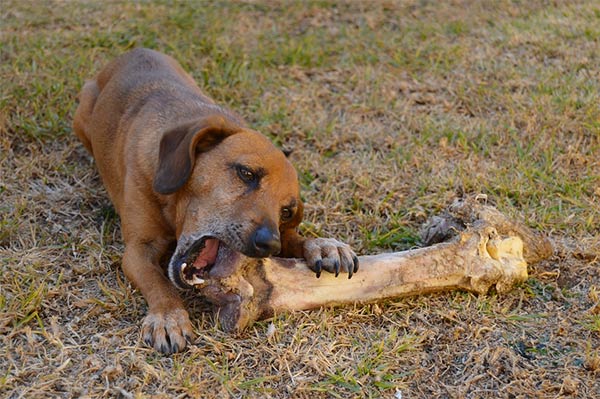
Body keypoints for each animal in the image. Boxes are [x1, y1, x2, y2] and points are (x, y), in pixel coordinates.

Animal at [73, 48, 358, 354]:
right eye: (247, 173)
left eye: (286, 211)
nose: (270, 245)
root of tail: (134, 51)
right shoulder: (137, 250)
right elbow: (159, 282)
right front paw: (168, 316)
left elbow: (296, 239)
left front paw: (323, 246)